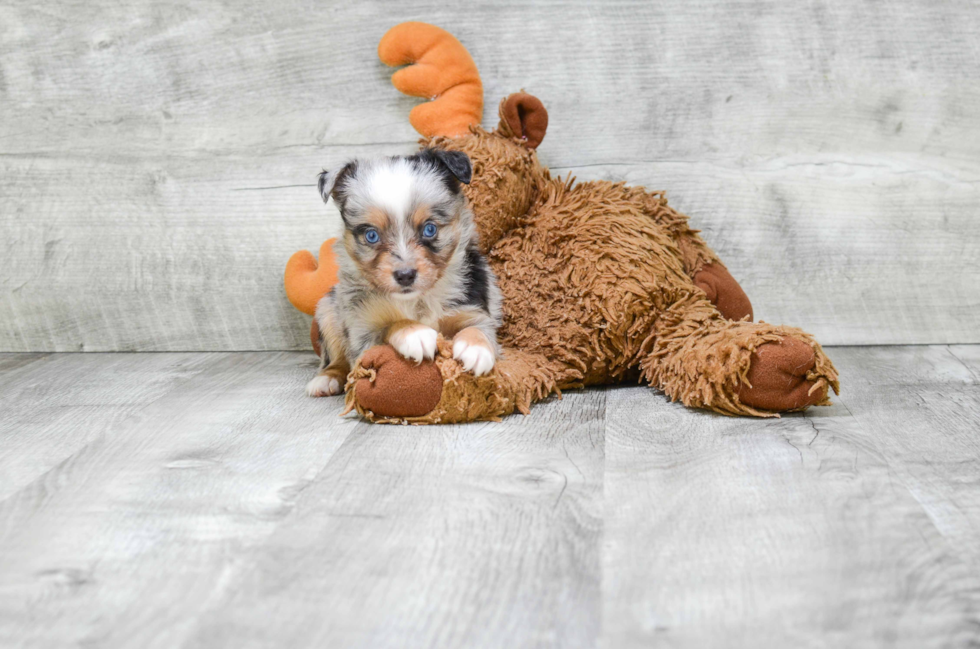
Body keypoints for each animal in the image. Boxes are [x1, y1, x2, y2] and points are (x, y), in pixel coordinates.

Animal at [306, 149, 502, 398]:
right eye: (371, 235)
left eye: (429, 229)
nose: (405, 275)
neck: (416, 301)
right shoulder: (362, 333)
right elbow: (391, 325)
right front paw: (415, 333)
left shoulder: (474, 307)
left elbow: (478, 328)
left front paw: (475, 348)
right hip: (328, 310)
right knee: (334, 357)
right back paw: (326, 378)